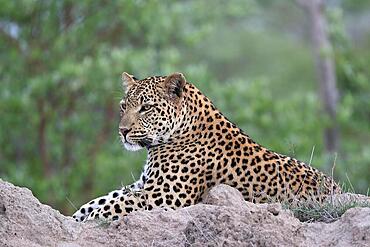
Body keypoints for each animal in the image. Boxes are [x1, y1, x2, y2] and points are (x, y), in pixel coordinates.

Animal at [71, 71, 342, 222]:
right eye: (123, 107)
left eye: (145, 108)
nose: (123, 131)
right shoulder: (144, 185)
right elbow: (101, 200)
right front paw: (75, 218)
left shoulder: (164, 195)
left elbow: (111, 205)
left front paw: (85, 221)